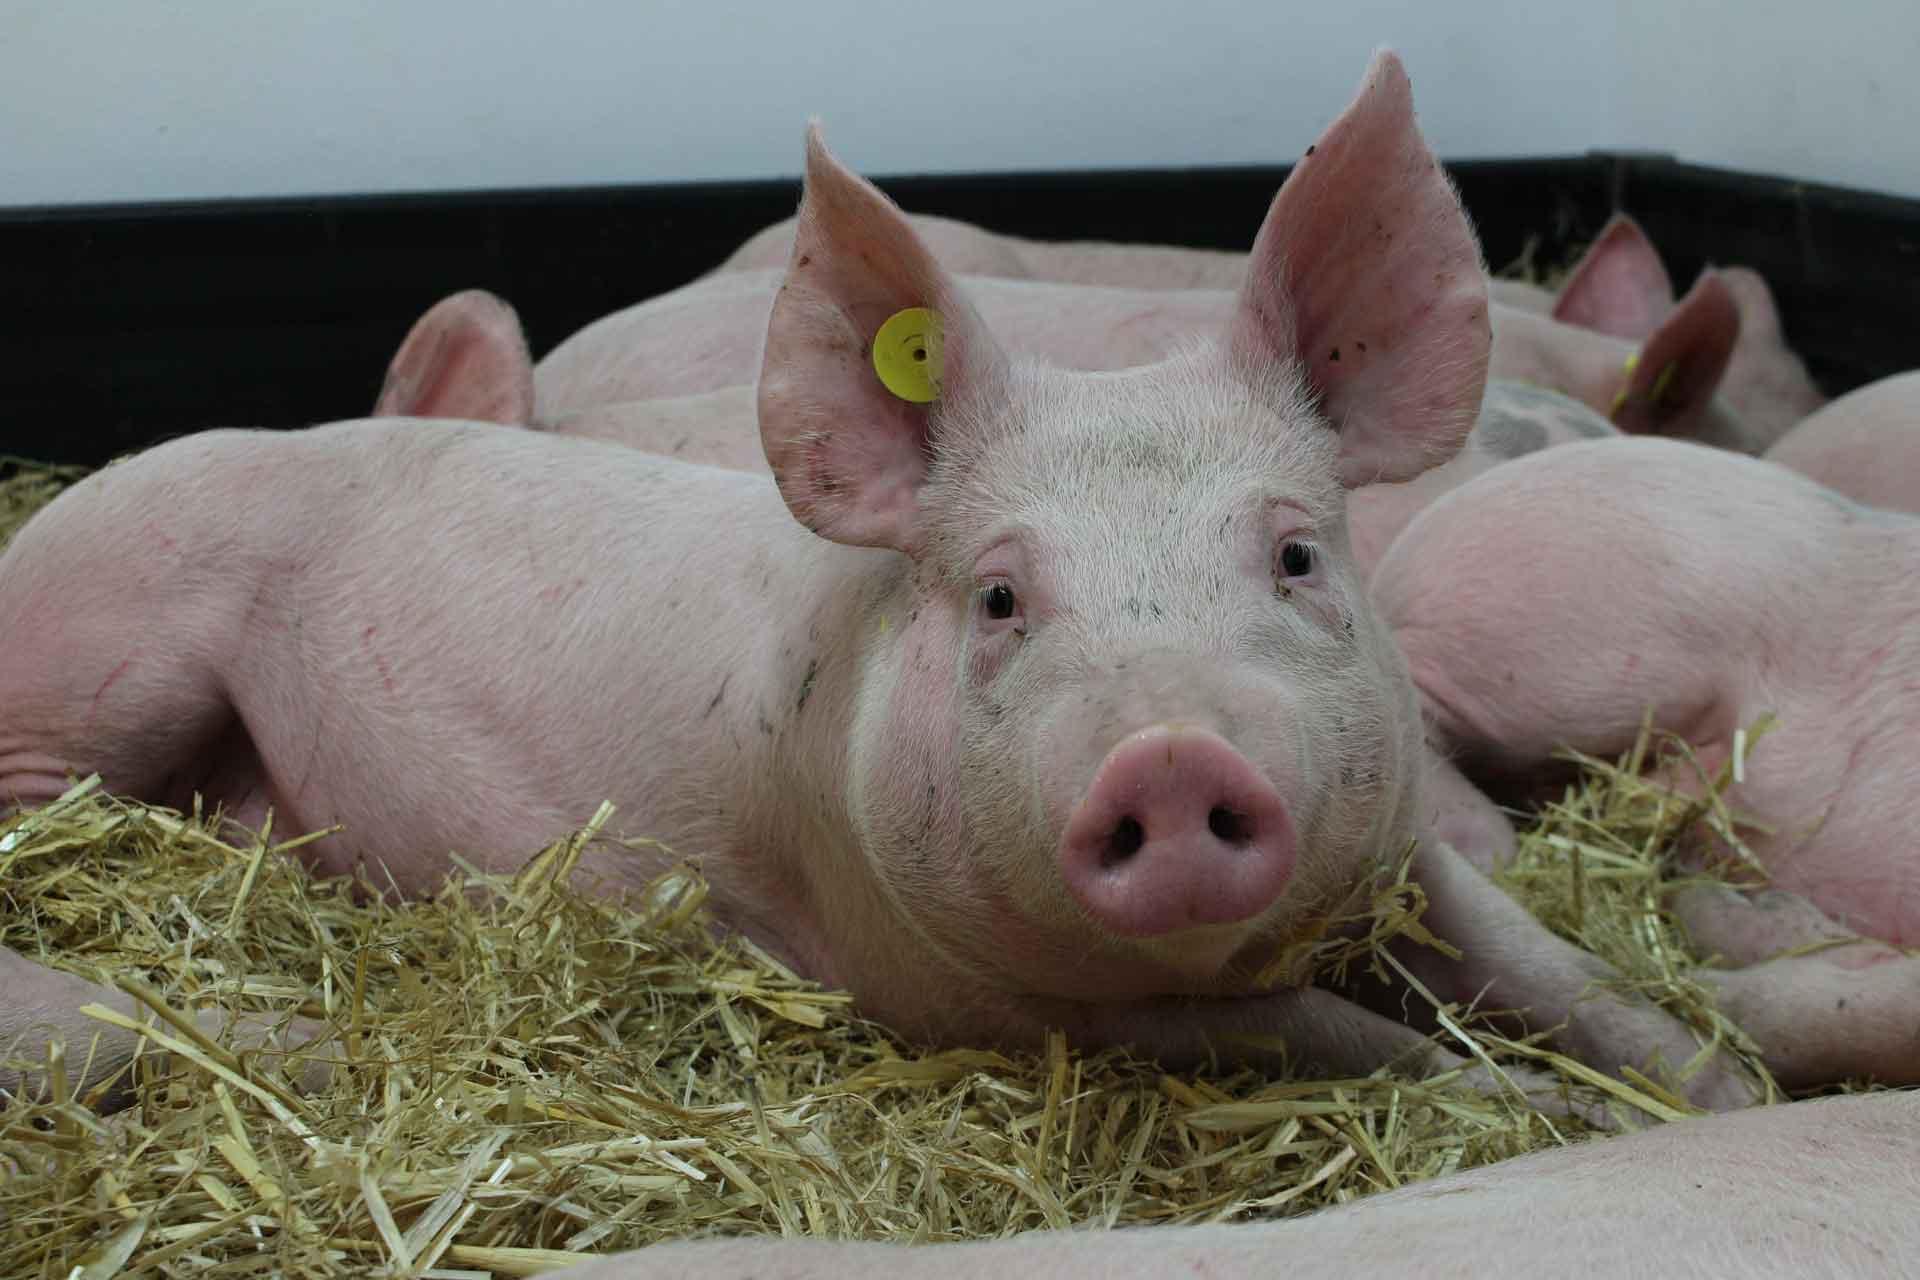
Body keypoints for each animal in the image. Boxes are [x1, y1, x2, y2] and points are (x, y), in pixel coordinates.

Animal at [0, 52, 1758, 1113]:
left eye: (1297, 555)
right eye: (999, 600)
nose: (1170, 754)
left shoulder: (1402, 847)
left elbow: (1554, 964)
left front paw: (1721, 1089)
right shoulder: (989, 989)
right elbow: (1346, 1043)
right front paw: (1535, 1105)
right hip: (104, 637)